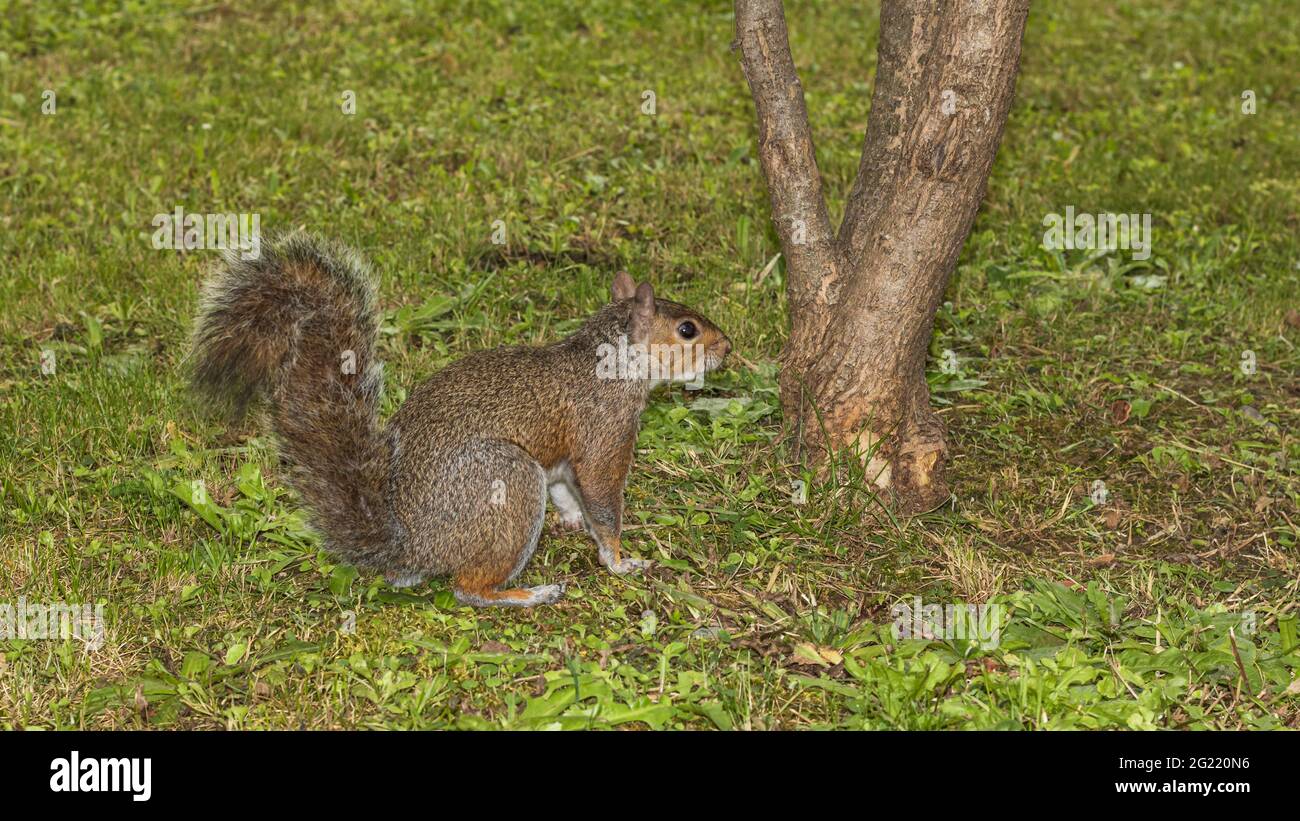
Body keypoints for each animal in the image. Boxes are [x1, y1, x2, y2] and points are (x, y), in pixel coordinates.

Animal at [188, 233, 733, 605]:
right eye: (687, 330)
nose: (729, 347)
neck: (610, 361)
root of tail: (411, 547)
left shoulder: (561, 456)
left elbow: (566, 486)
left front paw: (572, 518)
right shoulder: (605, 431)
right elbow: (601, 495)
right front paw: (620, 559)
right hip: (506, 480)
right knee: (468, 588)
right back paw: (528, 593)